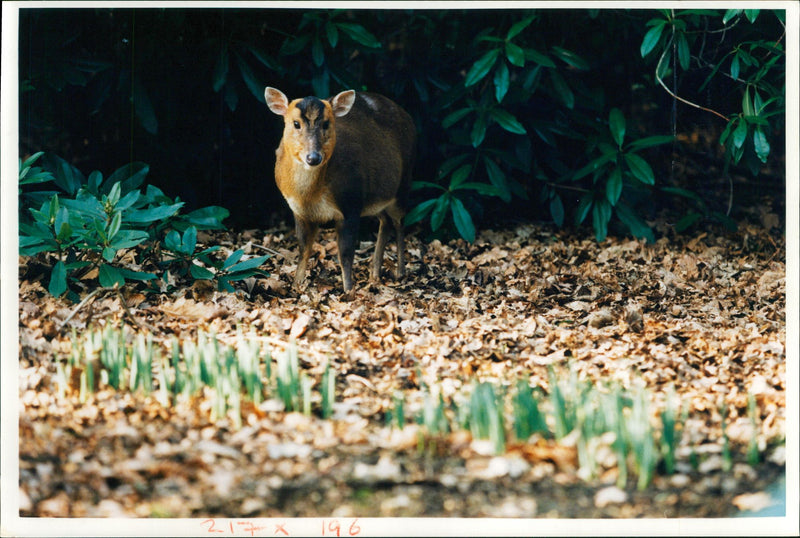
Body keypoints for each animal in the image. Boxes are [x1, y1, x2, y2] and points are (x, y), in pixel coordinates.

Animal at [268, 86, 418, 294]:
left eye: (326, 124)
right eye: (296, 123)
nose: (313, 157)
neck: (309, 195)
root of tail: (409, 118)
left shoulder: (351, 204)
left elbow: (345, 255)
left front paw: (348, 290)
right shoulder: (299, 211)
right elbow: (303, 249)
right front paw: (296, 286)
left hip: (403, 184)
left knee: (399, 222)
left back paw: (400, 272)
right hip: (376, 199)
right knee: (385, 221)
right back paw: (375, 273)